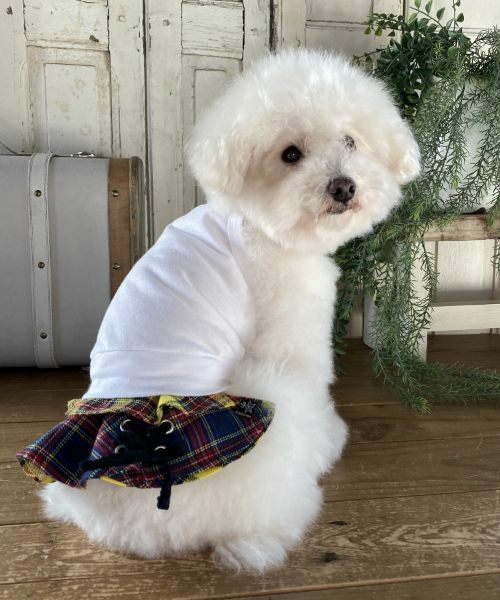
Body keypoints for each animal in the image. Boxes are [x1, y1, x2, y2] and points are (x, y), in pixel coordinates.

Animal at [34, 49, 420, 572]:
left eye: (350, 140)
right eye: (290, 154)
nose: (343, 187)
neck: (260, 224)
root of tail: (131, 531)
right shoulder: (293, 337)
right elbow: (316, 390)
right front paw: (330, 438)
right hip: (266, 397)